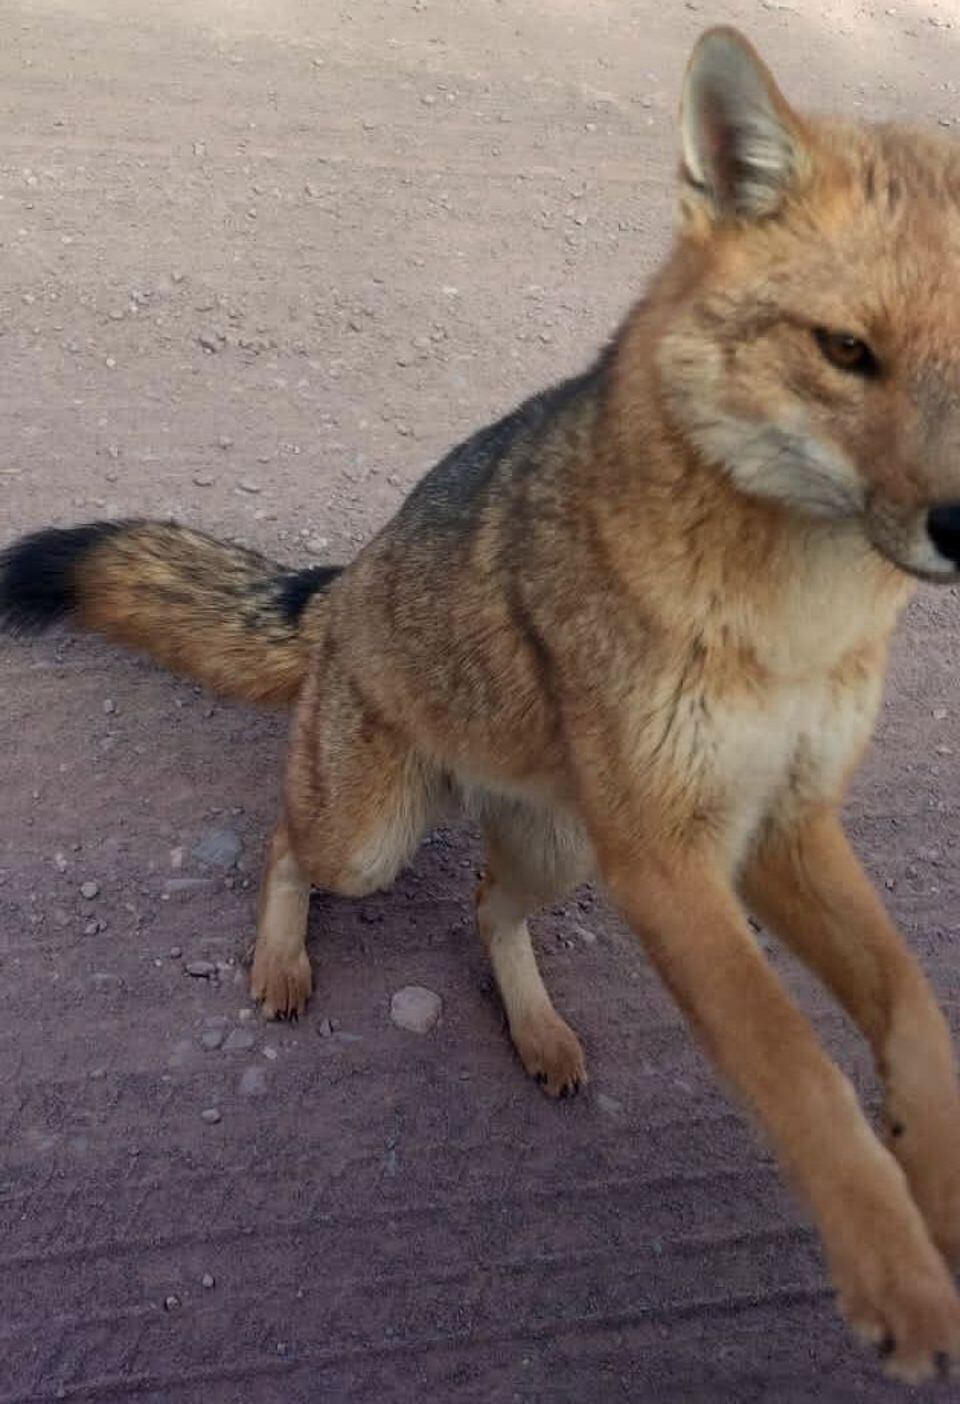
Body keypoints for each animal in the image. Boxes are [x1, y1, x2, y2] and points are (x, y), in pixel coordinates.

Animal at [5, 21, 960, 1381]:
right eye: (846, 352)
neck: (796, 626)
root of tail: (344, 583)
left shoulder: (784, 824)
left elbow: (918, 1013)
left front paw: (936, 1186)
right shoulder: (671, 859)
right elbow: (797, 1069)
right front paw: (896, 1275)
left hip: (560, 850)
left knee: (485, 909)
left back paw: (537, 1028)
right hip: (373, 838)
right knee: (286, 844)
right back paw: (282, 959)